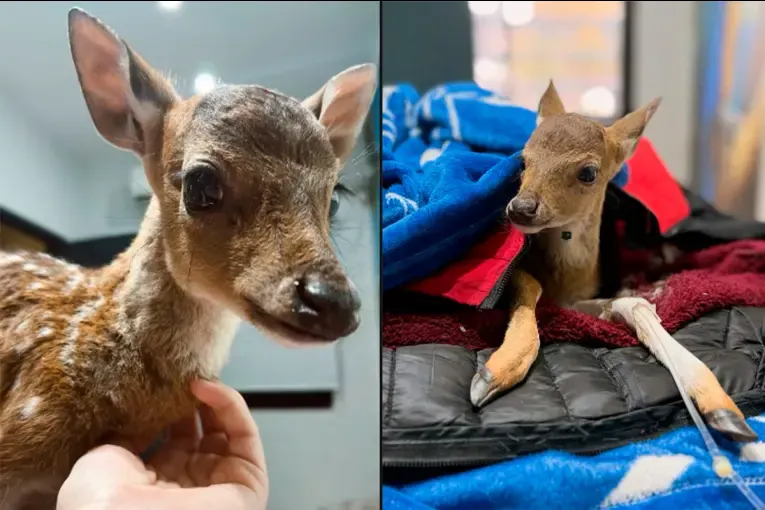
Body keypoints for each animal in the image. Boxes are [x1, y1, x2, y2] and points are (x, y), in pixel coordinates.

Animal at [469, 81, 758, 446]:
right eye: (523, 160)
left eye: (588, 172)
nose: (520, 208)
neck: (568, 282)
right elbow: (530, 285)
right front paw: (492, 375)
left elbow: (632, 304)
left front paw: (725, 411)